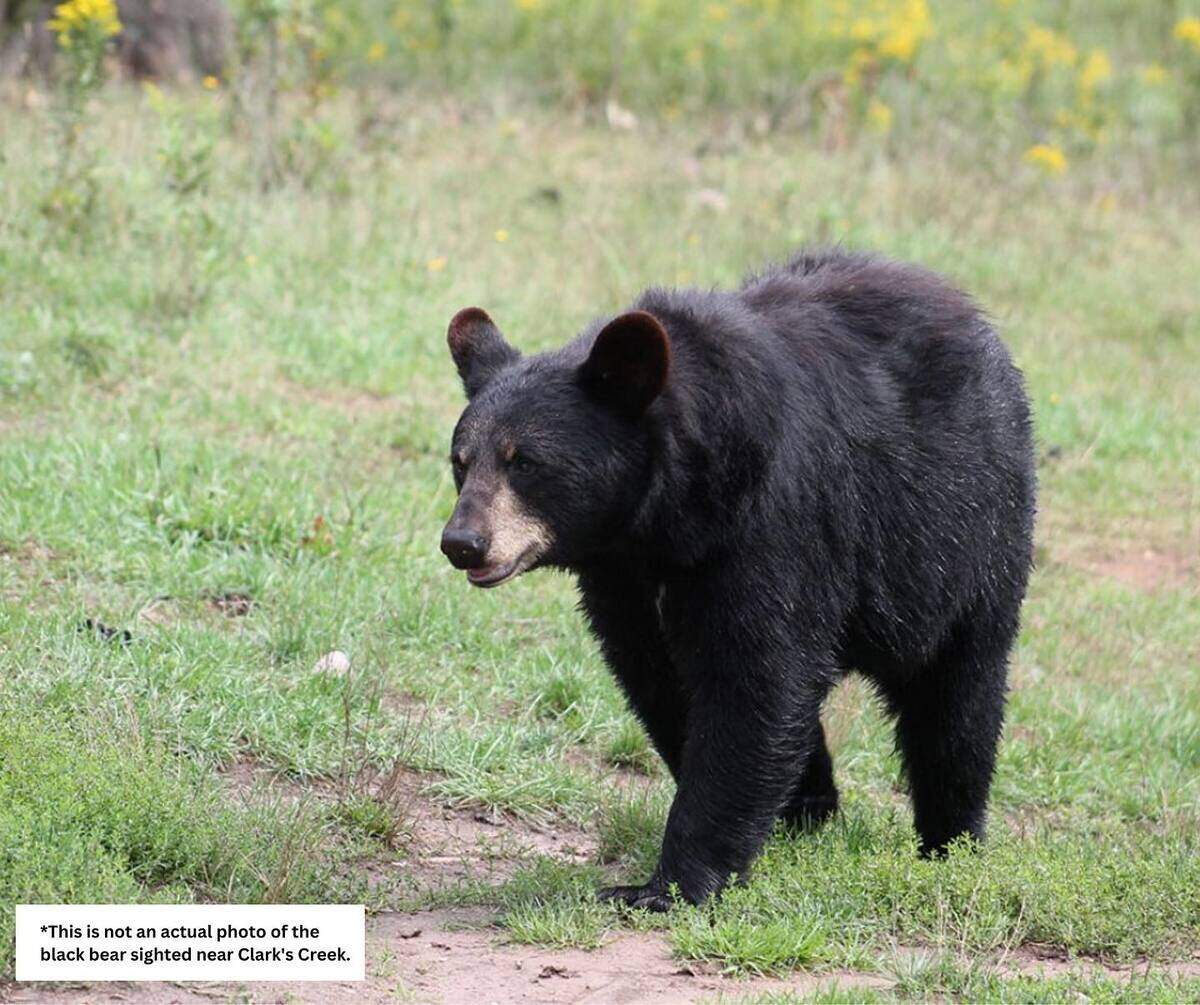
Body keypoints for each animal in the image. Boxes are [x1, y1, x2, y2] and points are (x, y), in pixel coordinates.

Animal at [439, 248, 1036, 911]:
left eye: (525, 462)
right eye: (461, 461)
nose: (462, 543)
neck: (670, 517)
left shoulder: (772, 526)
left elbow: (756, 679)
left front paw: (667, 885)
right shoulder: (624, 580)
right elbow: (665, 680)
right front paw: (784, 817)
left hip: (964, 538)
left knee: (957, 696)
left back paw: (951, 841)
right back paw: (813, 806)